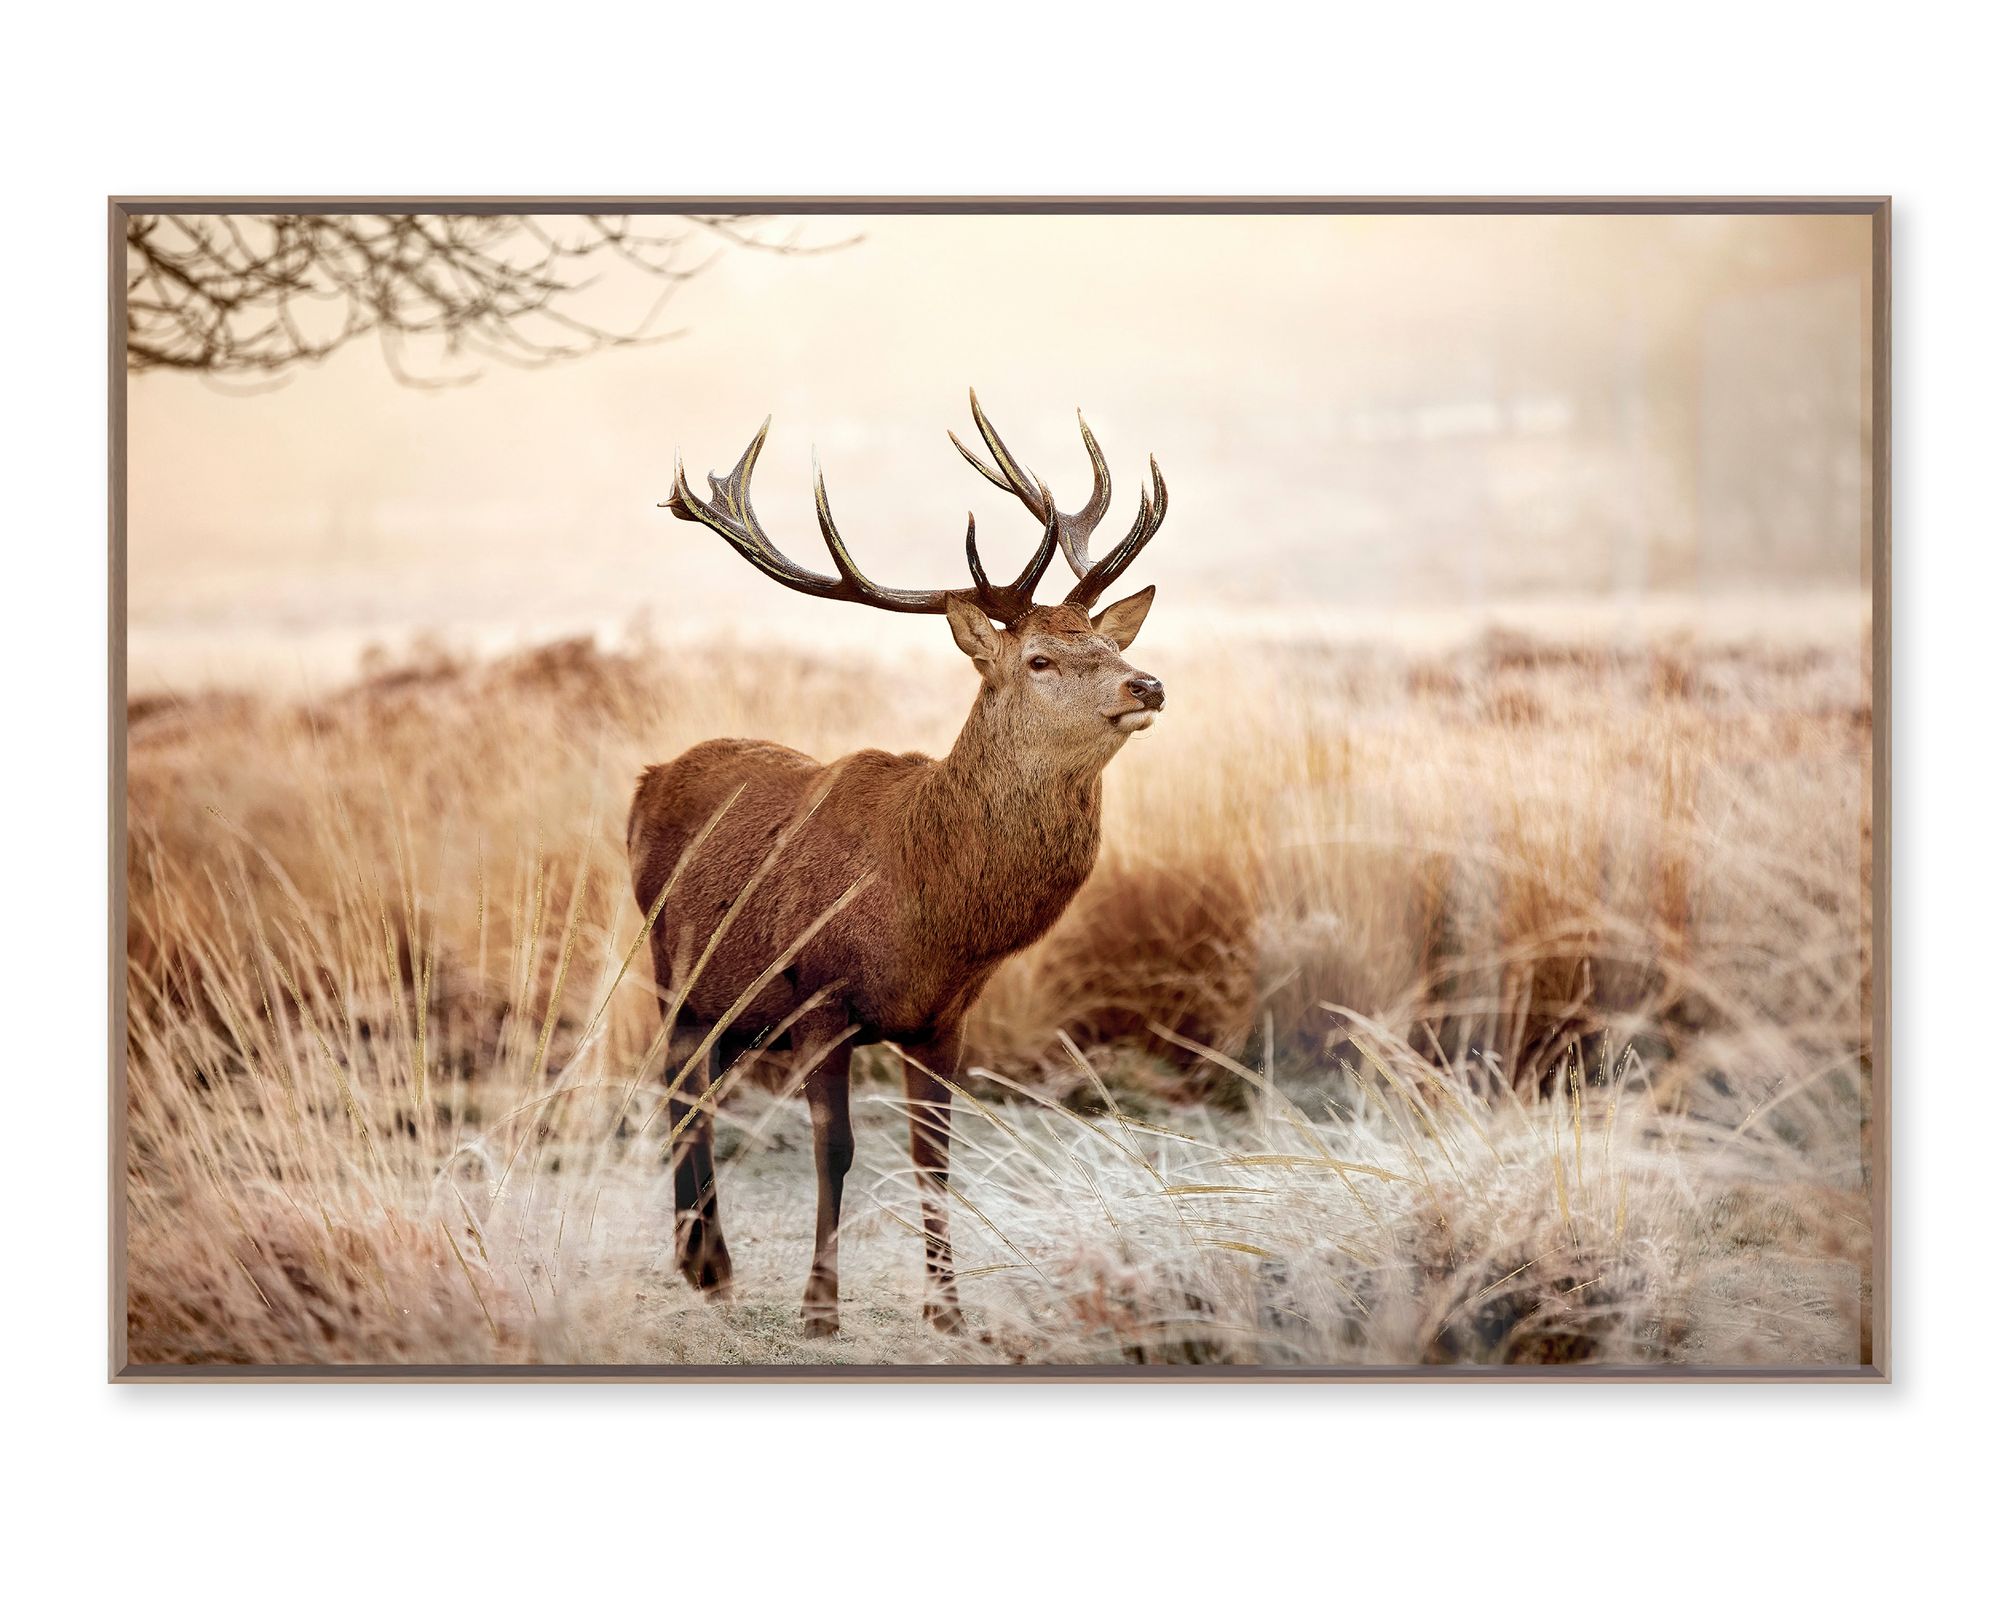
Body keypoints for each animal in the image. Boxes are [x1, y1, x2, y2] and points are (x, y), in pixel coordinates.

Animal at [628, 391, 1168, 1336]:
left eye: (1108, 646)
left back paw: (705, 1267)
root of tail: (646, 781)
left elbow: (935, 1157)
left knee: (694, 1089)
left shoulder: (942, 1020)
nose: (1147, 685)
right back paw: (709, 1265)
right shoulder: (821, 998)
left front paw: (949, 1309)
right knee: (678, 1086)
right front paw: (819, 1307)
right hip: (672, 965)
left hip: (727, 1000)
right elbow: (836, 1151)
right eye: (1040, 658)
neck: (928, 910)